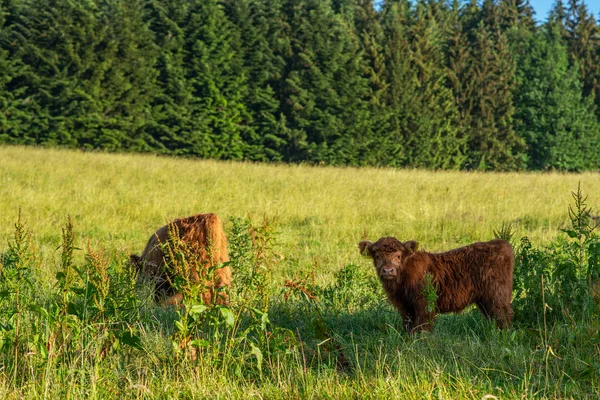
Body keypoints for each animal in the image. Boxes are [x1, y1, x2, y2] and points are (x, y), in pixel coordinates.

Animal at [358, 238, 512, 332]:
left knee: (503, 316)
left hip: (497, 296)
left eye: (398, 256)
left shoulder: (424, 304)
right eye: (377, 256)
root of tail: (499, 243)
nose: (388, 270)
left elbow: (423, 326)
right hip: (485, 300)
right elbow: (409, 327)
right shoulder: (405, 307)